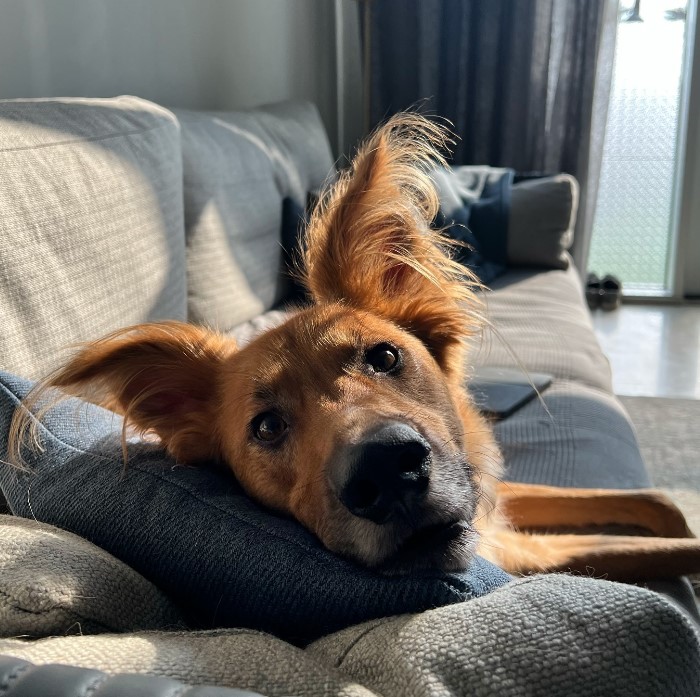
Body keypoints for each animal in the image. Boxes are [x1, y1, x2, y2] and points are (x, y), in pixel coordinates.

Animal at [9, 115, 700, 580]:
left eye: (385, 357)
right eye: (266, 426)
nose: (387, 472)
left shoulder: (494, 491)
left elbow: (656, 499)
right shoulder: (527, 551)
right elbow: (667, 549)